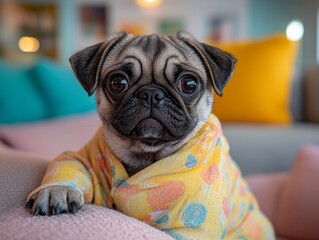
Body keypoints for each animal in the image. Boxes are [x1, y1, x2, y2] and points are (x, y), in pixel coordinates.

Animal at [25, 31, 276, 238]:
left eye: (189, 84)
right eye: (118, 82)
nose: (151, 93)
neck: (147, 154)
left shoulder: (191, 226)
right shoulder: (84, 158)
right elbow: (68, 165)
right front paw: (58, 191)